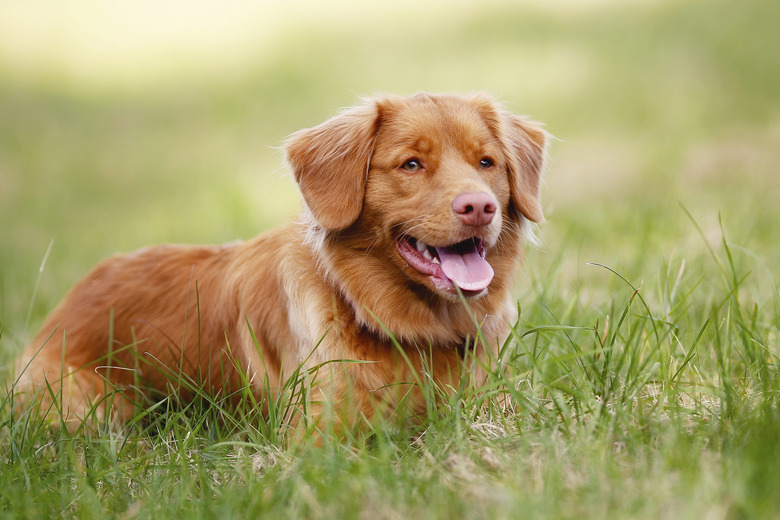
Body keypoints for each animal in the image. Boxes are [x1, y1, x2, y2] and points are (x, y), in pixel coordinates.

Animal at [15, 92, 544, 434]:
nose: (479, 207)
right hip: (82, 406)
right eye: (411, 164)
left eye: (486, 163)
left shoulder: (501, 407)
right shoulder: (320, 438)